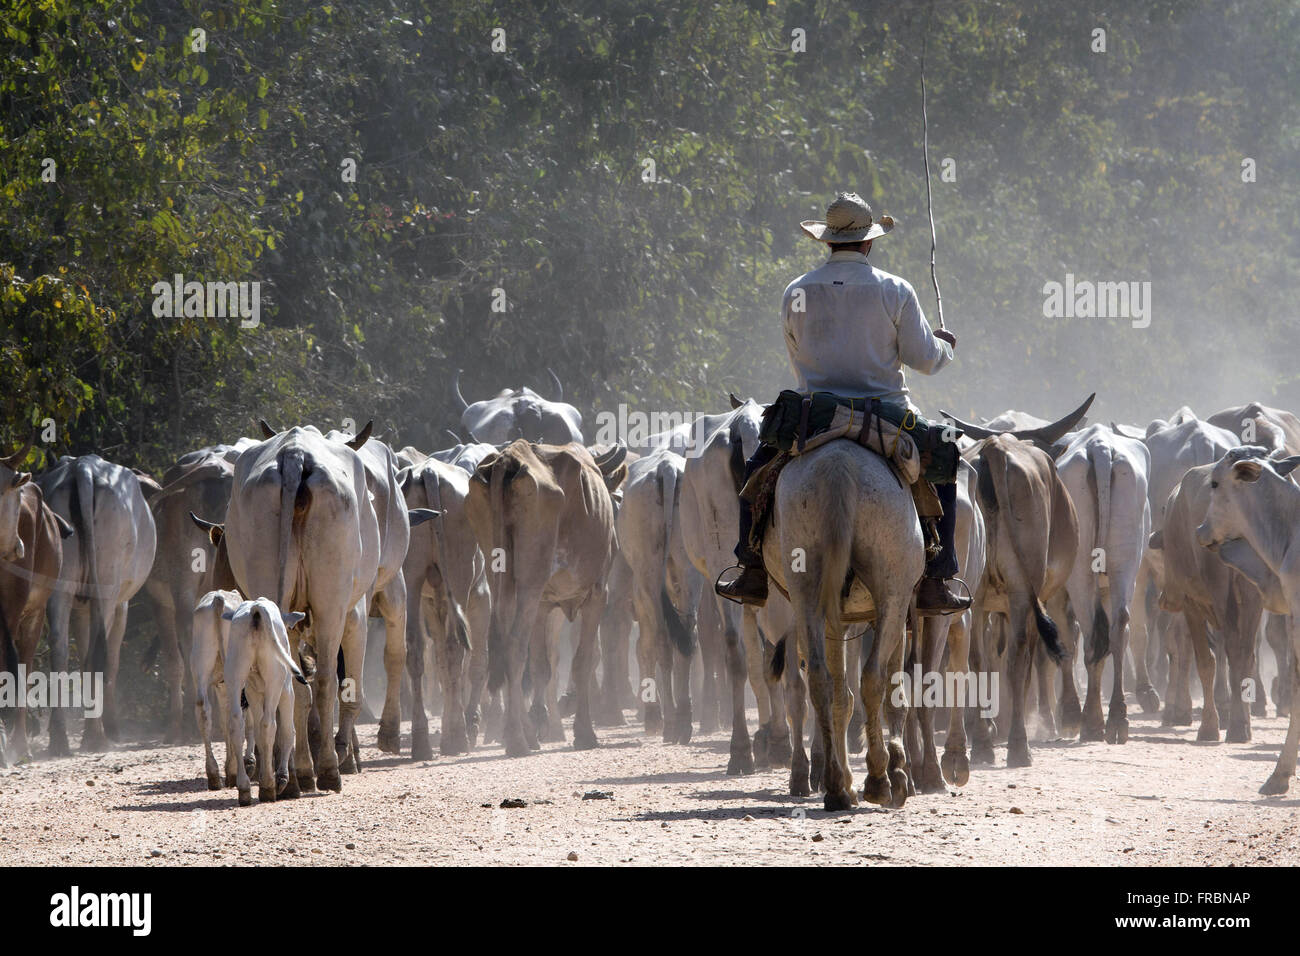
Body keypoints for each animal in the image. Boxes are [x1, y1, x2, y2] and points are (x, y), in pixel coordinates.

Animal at [39, 455, 157, 754]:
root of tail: (82, 468)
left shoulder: (81, 607)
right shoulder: (121, 604)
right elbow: (111, 661)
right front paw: (113, 726)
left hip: (60, 583)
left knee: (59, 647)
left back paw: (60, 737)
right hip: (106, 589)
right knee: (98, 654)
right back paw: (95, 736)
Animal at [223, 598, 306, 806]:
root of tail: (256, 609)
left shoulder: (253, 693)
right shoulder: (287, 692)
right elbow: (287, 731)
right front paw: (282, 777)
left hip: (235, 676)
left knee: (236, 724)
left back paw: (244, 788)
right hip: (275, 679)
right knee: (269, 724)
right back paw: (268, 785)